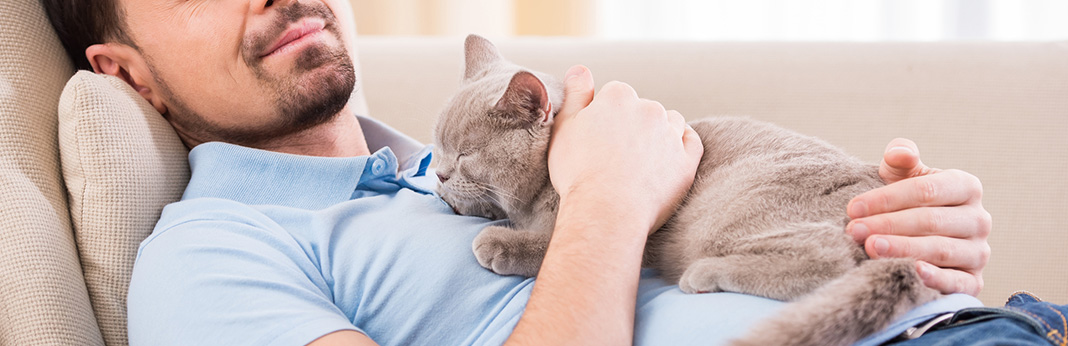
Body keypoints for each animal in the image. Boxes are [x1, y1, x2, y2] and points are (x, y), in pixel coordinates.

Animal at [433, 35, 944, 346]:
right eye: (438, 146)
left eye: (465, 153)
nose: (436, 174)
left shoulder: (630, 231)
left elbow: (550, 239)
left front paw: (498, 242)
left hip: (728, 210)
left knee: (828, 258)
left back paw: (706, 273)